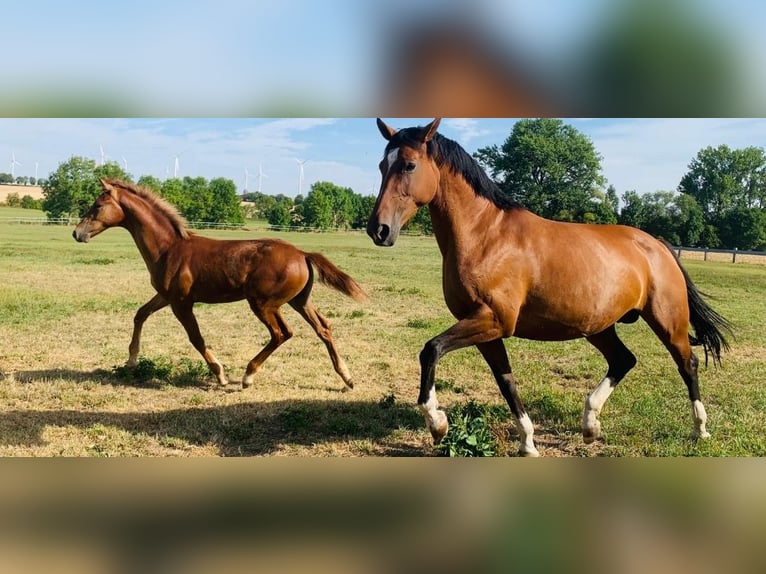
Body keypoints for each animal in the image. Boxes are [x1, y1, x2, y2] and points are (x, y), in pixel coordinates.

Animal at [73, 180, 368, 394]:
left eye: (97, 205)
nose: (77, 233)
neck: (169, 248)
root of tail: (303, 254)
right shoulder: (165, 296)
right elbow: (140, 314)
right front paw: (132, 360)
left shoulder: (181, 303)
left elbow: (196, 338)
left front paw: (220, 374)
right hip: (299, 301)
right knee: (323, 328)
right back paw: (347, 377)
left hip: (264, 303)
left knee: (282, 333)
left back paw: (247, 376)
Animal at [368, 118, 736, 460]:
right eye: (382, 165)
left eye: (409, 165)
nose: (378, 229)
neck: (485, 236)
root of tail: (658, 245)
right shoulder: (486, 329)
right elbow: (506, 382)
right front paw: (528, 443)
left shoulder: (494, 320)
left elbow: (431, 349)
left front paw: (437, 422)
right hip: (599, 327)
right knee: (623, 360)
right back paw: (590, 425)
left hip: (667, 322)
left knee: (687, 365)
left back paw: (700, 429)